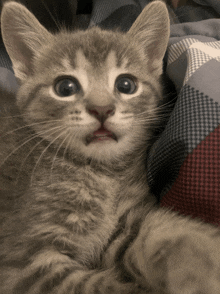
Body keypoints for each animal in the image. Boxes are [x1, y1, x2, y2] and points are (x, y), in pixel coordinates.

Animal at [0, 1, 220, 292]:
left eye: (126, 84)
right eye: (65, 87)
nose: (101, 109)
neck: (102, 173)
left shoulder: (124, 225)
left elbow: (161, 232)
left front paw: (204, 254)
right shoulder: (25, 264)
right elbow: (111, 286)